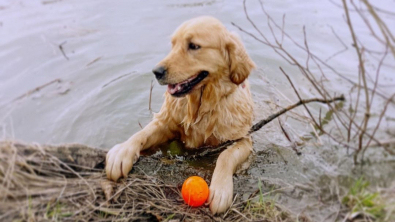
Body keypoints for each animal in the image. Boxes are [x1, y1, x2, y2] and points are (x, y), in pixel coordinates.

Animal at [105, 15, 255, 213]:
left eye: (193, 46)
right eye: (173, 45)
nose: (156, 72)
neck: (201, 106)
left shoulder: (243, 139)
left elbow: (226, 156)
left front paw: (221, 188)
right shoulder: (166, 124)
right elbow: (142, 133)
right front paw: (122, 152)